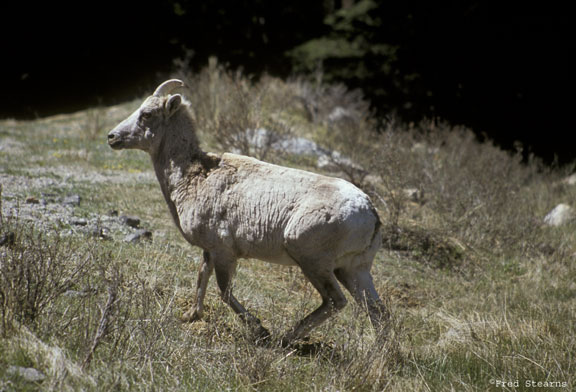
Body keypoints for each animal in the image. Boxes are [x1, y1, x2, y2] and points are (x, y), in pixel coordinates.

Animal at [106, 80, 390, 346]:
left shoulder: (224, 252)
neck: (195, 177)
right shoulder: (210, 251)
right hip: (354, 269)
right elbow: (202, 277)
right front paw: (191, 316)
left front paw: (259, 329)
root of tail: (370, 214)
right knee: (378, 311)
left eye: (147, 114)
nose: (112, 137)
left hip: (313, 262)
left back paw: (285, 337)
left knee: (335, 301)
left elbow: (224, 291)